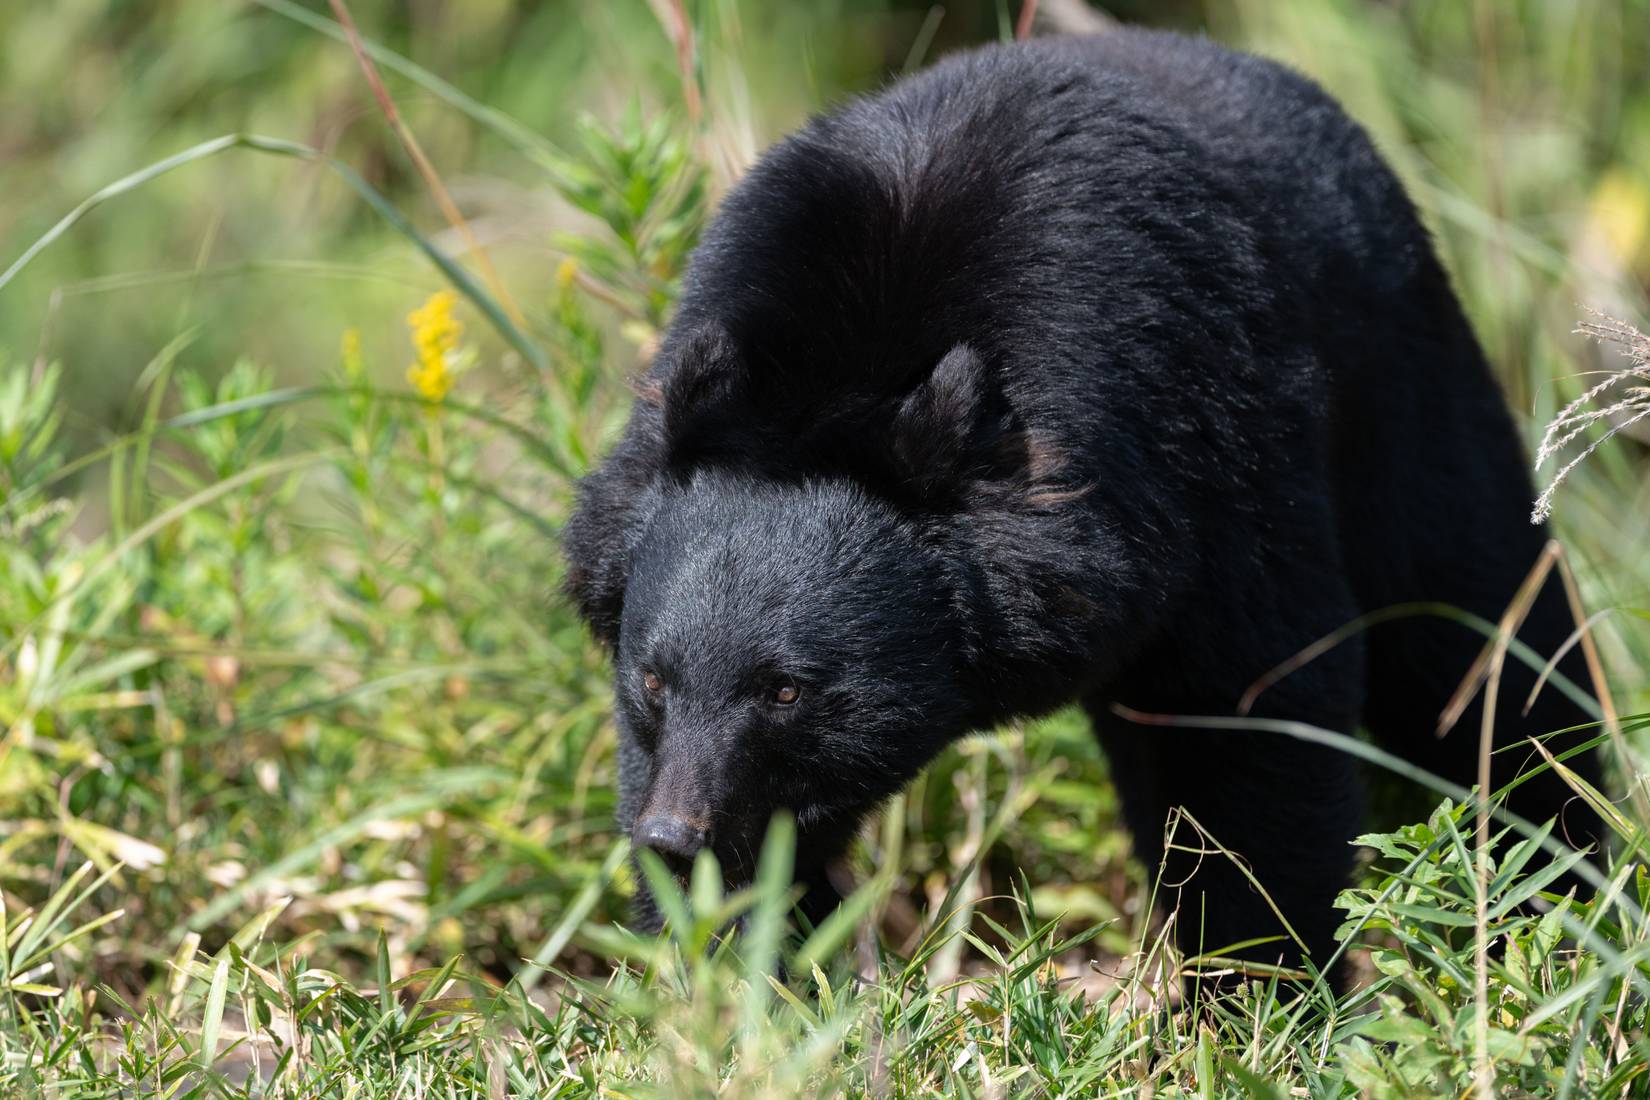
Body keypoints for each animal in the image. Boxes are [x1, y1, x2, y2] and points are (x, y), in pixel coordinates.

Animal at [562, 28, 1603, 985]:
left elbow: (1252, 715)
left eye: (786, 690)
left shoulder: (1208, 454)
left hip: (1402, 389)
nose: (674, 837)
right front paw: (742, 975)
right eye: (653, 681)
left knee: (1480, 640)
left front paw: (1257, 986)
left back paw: (1556, 890)